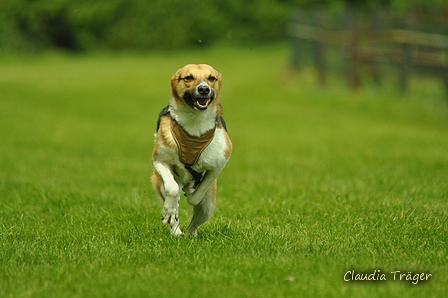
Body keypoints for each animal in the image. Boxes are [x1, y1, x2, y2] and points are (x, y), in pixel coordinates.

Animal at [151, 64, 233, 236]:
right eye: (188, 77)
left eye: (212, 78)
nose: (204, 89)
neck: (194, 121)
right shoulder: (159, 160)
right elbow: (172, 188)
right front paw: (170, 210)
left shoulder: (218, 165)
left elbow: (196, 195)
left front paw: (191, 192)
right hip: (159, 183)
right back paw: (175, 229)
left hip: (209, 205)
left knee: (194, 224)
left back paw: (189, 233)